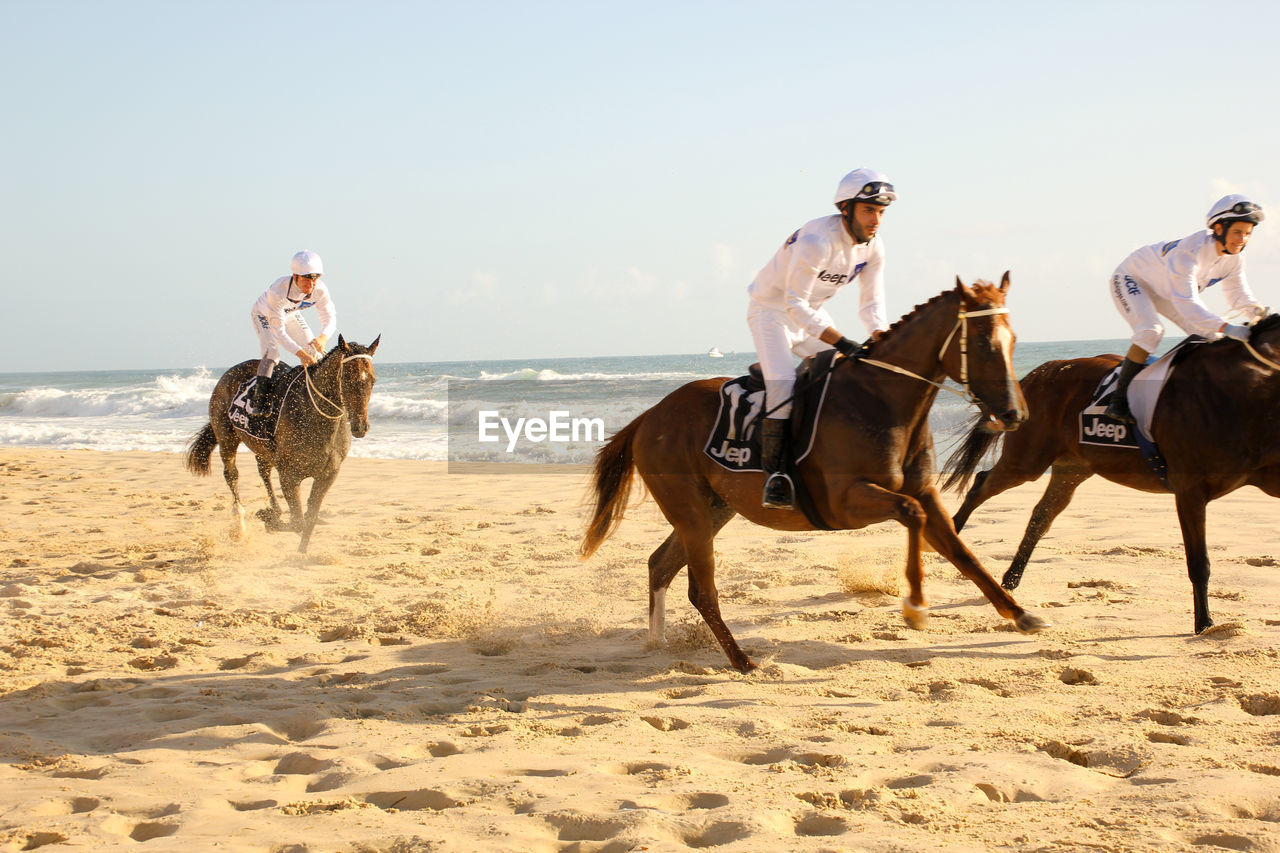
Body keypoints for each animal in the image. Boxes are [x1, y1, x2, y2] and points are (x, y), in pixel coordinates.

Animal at [184, 333, 378, 550]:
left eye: (372, 381)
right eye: (347, 379)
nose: (361, 426)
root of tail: (227, 374)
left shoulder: (327, 475)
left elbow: (309, 519)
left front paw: (300, 552)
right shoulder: (288, 475)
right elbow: (298, 522)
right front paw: (269, 520)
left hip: (261, 448)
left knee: (264, 471)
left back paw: (275, 510)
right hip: (226, 437)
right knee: (232, 476)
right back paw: (241, 524)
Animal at [581, 274, 1049, 671]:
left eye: (1013, 340)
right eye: (985, 344)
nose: (1016, 414)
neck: (883, 401)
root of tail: (649, 416)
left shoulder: (925, 493)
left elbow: (962, 552)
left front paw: (1019, 614)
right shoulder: (846, 504)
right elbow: (910, 514)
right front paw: (915, 608)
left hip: (714, 509)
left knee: (660, 564)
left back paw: (658, 642)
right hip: (691, 512)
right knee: (701, 590)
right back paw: (741, 660)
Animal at [947, 312, 1280, 630]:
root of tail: (1039, 373)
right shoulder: (1189, 491)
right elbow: (1199, 563)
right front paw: (1204, 623)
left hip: (1072, 468)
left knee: (1040, 516)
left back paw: (1011, 578)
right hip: (1027, 461)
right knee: (982, 484)